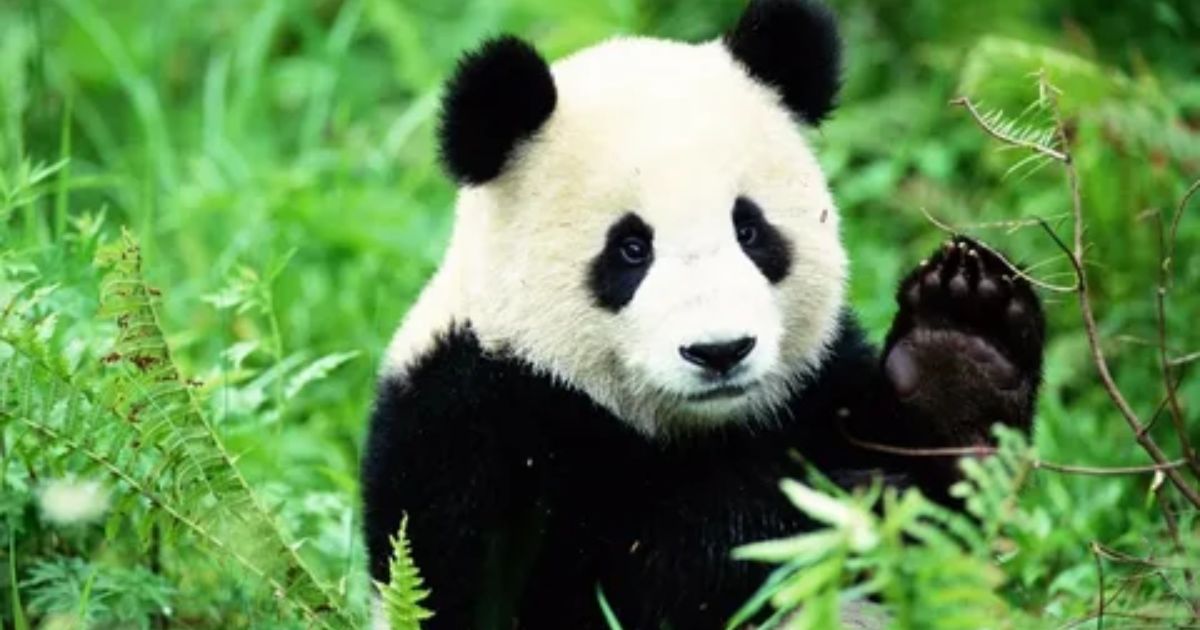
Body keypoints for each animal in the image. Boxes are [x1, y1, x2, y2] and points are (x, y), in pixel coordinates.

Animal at [361, 0, 1045, 628]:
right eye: (630, 249)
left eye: (750, 230)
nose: (720, 351)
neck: (687, 428)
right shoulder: (469, 424)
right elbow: (598, 588)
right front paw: (828, 512)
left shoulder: (818, 384)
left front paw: (958, 355)